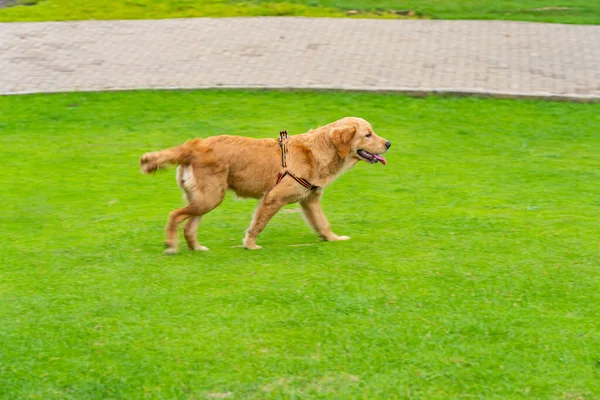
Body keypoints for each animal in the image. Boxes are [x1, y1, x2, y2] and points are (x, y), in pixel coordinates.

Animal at [140, 116, 390, 253]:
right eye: (368, 134)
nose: (388, 143)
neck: (317, 150)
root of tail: (194, 145)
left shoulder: (310, 201)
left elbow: (323, 224)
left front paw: (333, 239)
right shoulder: (272, 198)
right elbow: (257, 225)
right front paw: (250, 245)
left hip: (204, 199)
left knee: (188, 227)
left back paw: (197, 248)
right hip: (209, 198)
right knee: (174, 216)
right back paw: (171, 246)